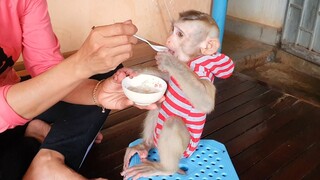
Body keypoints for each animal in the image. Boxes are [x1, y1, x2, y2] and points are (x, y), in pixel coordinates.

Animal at [121, 10, 234, 180]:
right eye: (172, 30)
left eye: (180, 34)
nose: (168, 40)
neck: (190, 61)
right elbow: (167, 79)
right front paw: (135, 71)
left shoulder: (203, 73)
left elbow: (206, 102)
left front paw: (169, 61)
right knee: (158, 107)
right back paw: (145, 145)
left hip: (187, 150)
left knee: (172, 123)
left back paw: (165, 168)